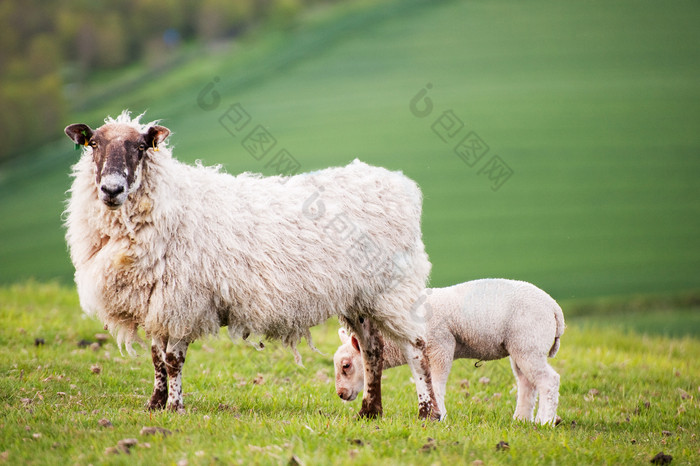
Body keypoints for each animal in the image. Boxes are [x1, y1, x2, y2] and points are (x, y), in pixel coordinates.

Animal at [64, 112, 438, 418]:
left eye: (141, 147)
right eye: (94, 144)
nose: (112, 189)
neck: (169, 202)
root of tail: (397, 184)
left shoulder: (185, 299)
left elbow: (173, 360)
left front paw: (175, 407)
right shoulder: (156, 300)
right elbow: (157, 358)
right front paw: (154, 404)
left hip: (394, 288)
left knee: (417, 347)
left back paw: (427, 412)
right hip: (361, 296)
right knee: (373, 349)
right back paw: (370, 411)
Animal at [332, 278, 564, 424]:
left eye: (346, 365)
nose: (341, 394)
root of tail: (554, 308)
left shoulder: (441, 344)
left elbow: (436, 384)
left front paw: (438, 416)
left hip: (529, 343)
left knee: (548, 380)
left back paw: (544, 422)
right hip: (521, 346)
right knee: (527, 383)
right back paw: (521, 420)